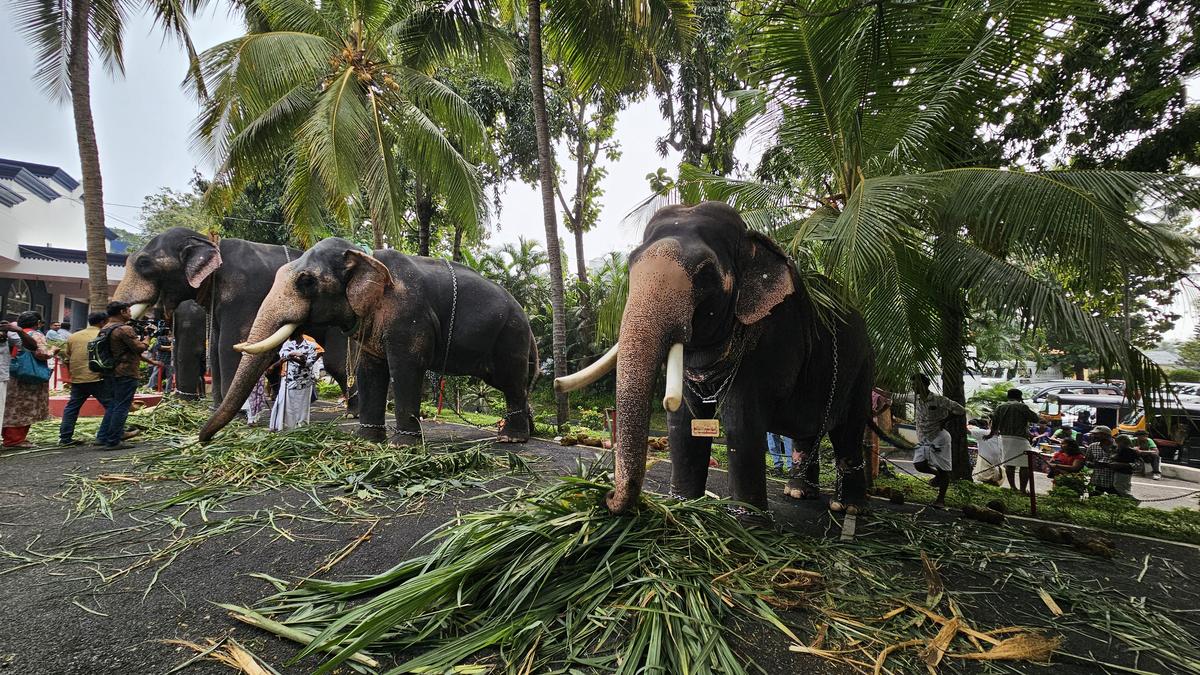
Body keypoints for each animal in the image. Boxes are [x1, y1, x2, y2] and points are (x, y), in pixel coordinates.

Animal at [112, 228, 353, 408]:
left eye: (144, 263)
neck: (209, 242)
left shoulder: (241, 296)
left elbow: (227, 345)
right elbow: (214, 348)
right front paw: (216, 407)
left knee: (336, 361)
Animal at [197, 238, 538, 445]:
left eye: (306, 281)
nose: (203, 440)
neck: (364, 255)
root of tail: (526, 317)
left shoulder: (408, 315)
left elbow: (406, 367)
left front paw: (403, 446)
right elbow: (370, 369)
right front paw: (367, 441)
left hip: (510, 337)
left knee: (511, 382)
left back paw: (511, 439)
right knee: (514, 384)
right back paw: (526, 432)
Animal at [555, 202, 875, 515]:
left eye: (705, 272)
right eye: (632, 263)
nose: (606, 497)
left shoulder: (773, 339)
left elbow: (740, 420)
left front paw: (748, 520)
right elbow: (682, 423)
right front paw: (682, 505)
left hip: (863, 367)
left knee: (849, 430)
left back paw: (848, 506)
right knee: (808, 431)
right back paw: (797, 492)